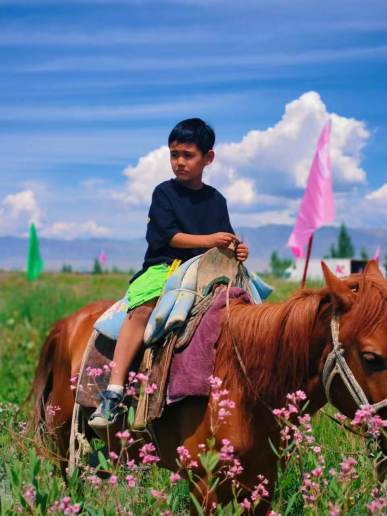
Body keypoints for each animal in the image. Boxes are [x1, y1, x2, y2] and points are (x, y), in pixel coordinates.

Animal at [31, 262, 386, 512]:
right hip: (62, 444)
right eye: (371, 357)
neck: (244, 384)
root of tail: (67, 324)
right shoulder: (204, 485)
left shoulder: (262, 482)